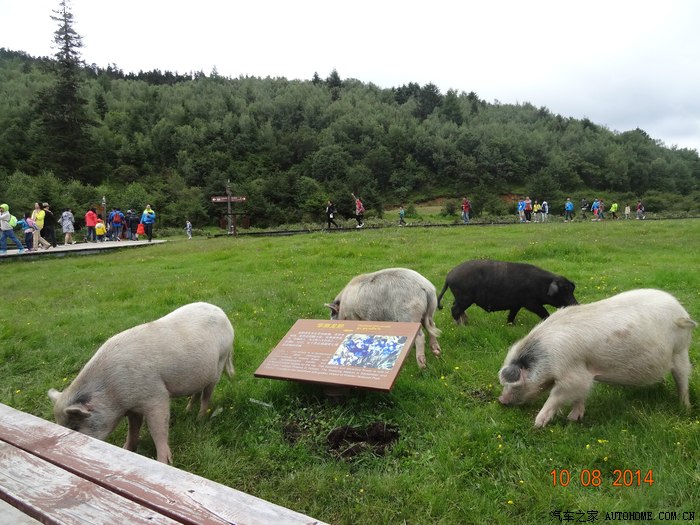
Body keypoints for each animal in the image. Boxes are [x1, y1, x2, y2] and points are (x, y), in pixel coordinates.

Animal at [48, 302, 234, 464]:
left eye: (75, 427)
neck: (112, 392)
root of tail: (224, 315)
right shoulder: (132, 407)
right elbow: (133, 429)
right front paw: (126, 449)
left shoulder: (156, 396)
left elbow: (158, 428)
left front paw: (164, 462)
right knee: (197, 392)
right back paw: (188, 410)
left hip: (219, 365)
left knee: (206, 396)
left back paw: (199, 419)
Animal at [437, 259, 578, 325]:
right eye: (564, 291)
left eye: (571, 290)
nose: (576, 304)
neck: (541, 285)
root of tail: (449, 276)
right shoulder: (531, 303)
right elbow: (544, 313)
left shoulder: (516, 304)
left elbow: (512, 314)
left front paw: (510, 324)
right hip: (464, 297)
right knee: (454, 309)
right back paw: (461, 325)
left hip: (460, 297)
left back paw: (466, 322)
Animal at [498, 289, 695, 427]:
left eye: (513, 383)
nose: (501, 400)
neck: (547, 360)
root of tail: (682, 313)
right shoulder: (584, 375)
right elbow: (580, 396)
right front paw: (573, 419)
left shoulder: (573, 375)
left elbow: (556, 396)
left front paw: (538, 424)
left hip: (680, 350)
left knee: (683, 378)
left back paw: (685, 407)